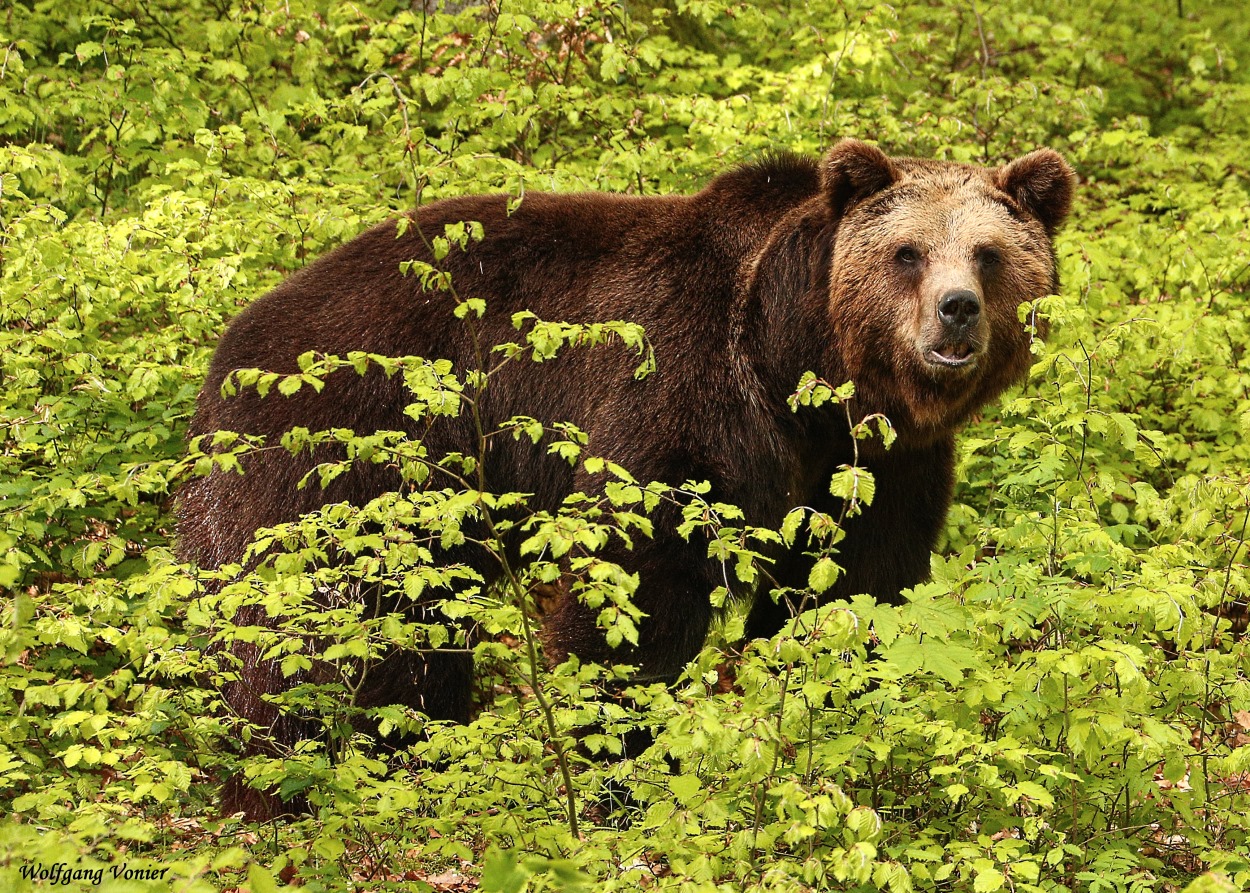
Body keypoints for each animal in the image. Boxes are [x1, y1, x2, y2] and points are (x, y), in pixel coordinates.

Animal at [176, 138, 1075, 815]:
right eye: (907, 252)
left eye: (990, 254)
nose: (956, 311)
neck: (801, 368)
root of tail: (227, 352)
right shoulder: (684, 396)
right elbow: (638, 587)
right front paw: (623, 764)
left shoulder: (878, 466)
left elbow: (855, 589)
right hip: (353, 446)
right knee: (335, 621)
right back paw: (301, 772)